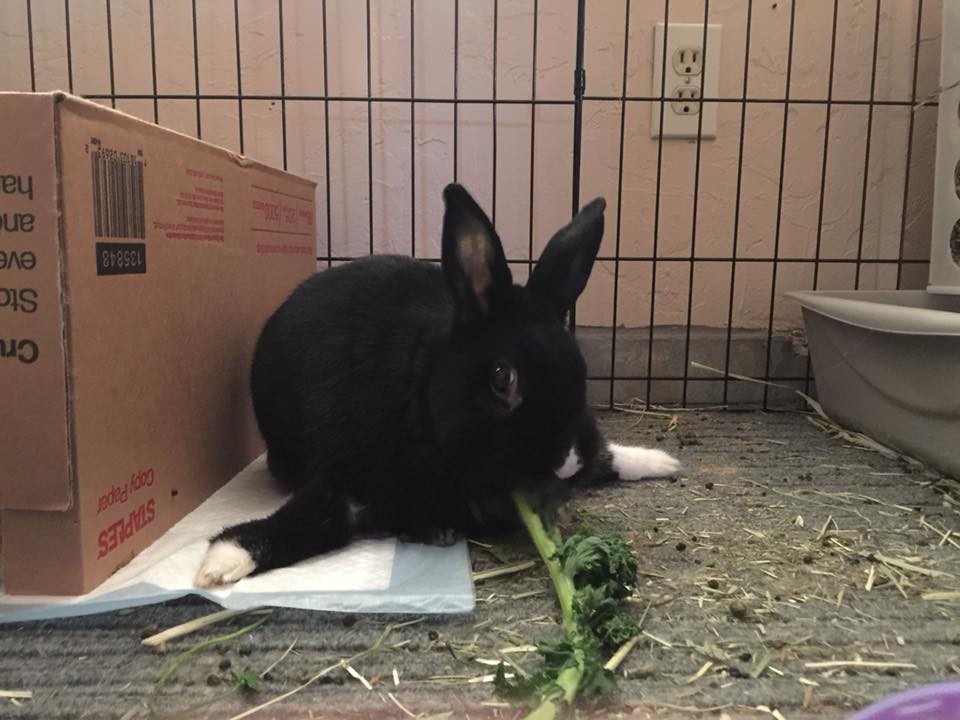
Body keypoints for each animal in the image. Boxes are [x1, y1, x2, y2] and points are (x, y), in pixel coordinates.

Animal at [194, 184, 680, 588]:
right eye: (502, 378)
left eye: (581, 368)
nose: (568, 461)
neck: (422, 397)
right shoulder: (348, 480)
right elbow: (309, 518)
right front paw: (218, 564)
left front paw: (656, 463)